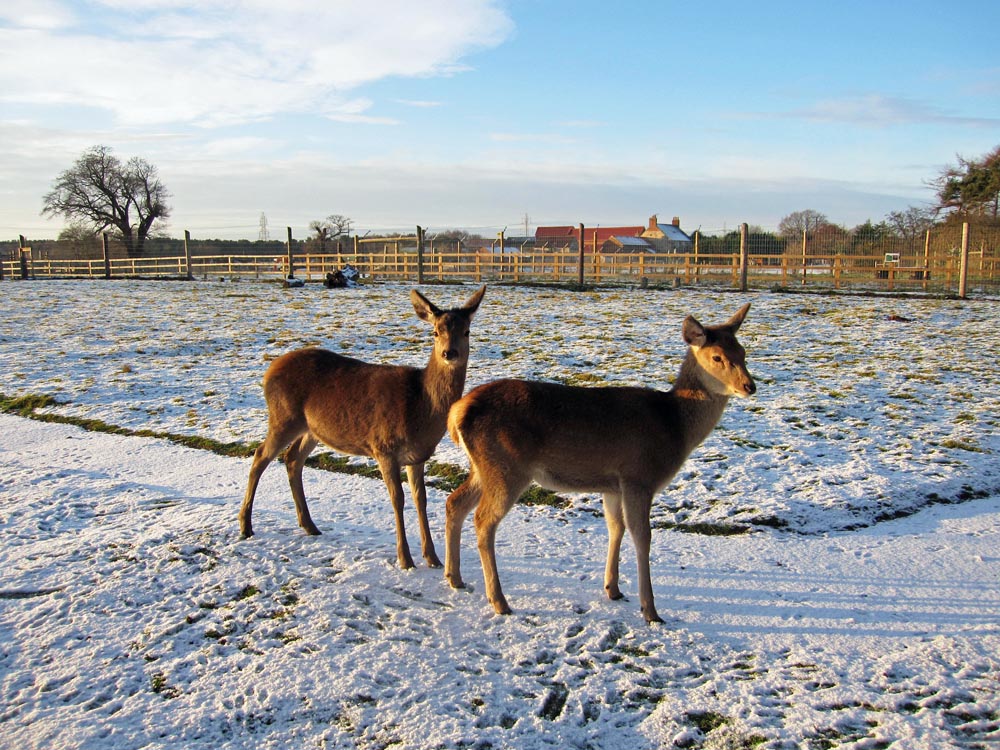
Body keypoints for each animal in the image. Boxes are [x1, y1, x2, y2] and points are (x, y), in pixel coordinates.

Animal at [239, 285, 486, 570]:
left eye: (466, 331)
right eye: (435, 332)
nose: (449, 353)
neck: (420, 406)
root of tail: (268, 371)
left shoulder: (418, 456)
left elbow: (421, 499)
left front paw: (432, 557)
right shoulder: (383, 447)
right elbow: (398, 499)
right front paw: (405, 559)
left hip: (311, 429)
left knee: (292, 459)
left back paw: (309, 525)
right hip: (283, 417)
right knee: (260, 456)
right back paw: (245, 525)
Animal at [443, 303, 755, 623]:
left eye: (743, 351)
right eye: (717, 357)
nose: (749, 386)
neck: (674, 426)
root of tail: (457, 412)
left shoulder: (613, 486)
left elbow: (616, 528)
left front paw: (613, 589)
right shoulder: (638, 477)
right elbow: (643, 537)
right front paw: (651, 611)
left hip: (482, 467)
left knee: (455, 502)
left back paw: (455, 577)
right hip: (506, 467)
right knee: (483, 520)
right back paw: (498, 600)